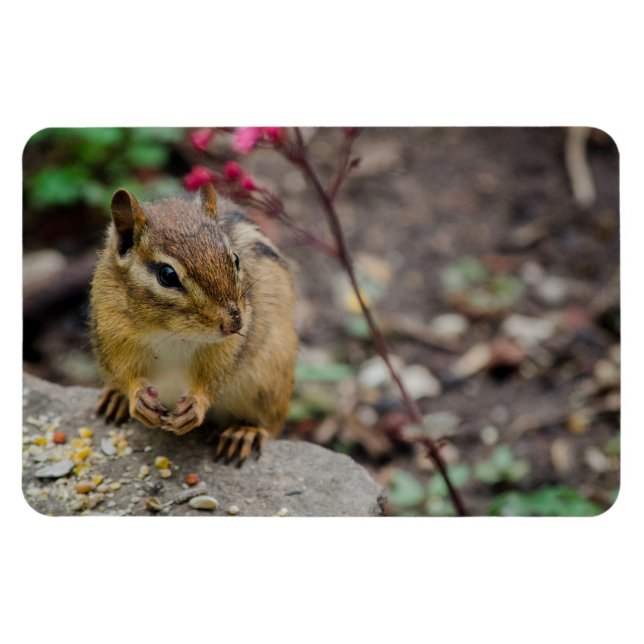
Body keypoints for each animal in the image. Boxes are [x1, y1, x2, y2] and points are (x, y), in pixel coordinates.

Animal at [89, 182, 298, 465]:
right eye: (167, 275)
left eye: (235, 259)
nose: (234, 324)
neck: (170, 332)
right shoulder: (112, 334)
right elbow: (123, 371)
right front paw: (134, 398)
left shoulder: (226, 349)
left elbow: (215, 376)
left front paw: (196, 405)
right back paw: (115, 398)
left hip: (269, 382)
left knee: (268, 423)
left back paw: (244, 433)